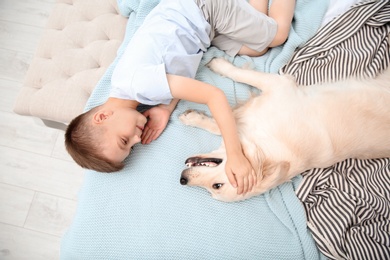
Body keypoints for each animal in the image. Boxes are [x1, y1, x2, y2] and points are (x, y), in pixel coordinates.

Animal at [180, 58, 390, 202]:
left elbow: (239, 79)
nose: (182, 180)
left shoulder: (279, 85)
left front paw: (219, 65)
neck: (269, 148)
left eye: (216, 186)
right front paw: (194, 117)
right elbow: (221, 124)